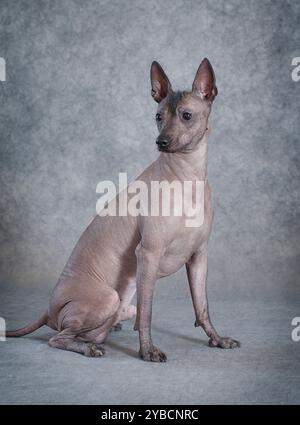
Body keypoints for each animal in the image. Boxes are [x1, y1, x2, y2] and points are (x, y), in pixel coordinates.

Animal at [6, 57, 239, 362]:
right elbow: (148, 312)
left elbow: (202, 306)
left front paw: (217, 339)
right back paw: (88, 347)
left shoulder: (199, 257)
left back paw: (106, 332)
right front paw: (148, 350)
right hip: (109, 297)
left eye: (186, 115)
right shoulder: (148, 255)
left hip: (122, 302)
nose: (161, 142)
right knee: (58, 338)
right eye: (158, 117)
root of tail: (48, 310)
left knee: (114, 320)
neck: (187, 177)